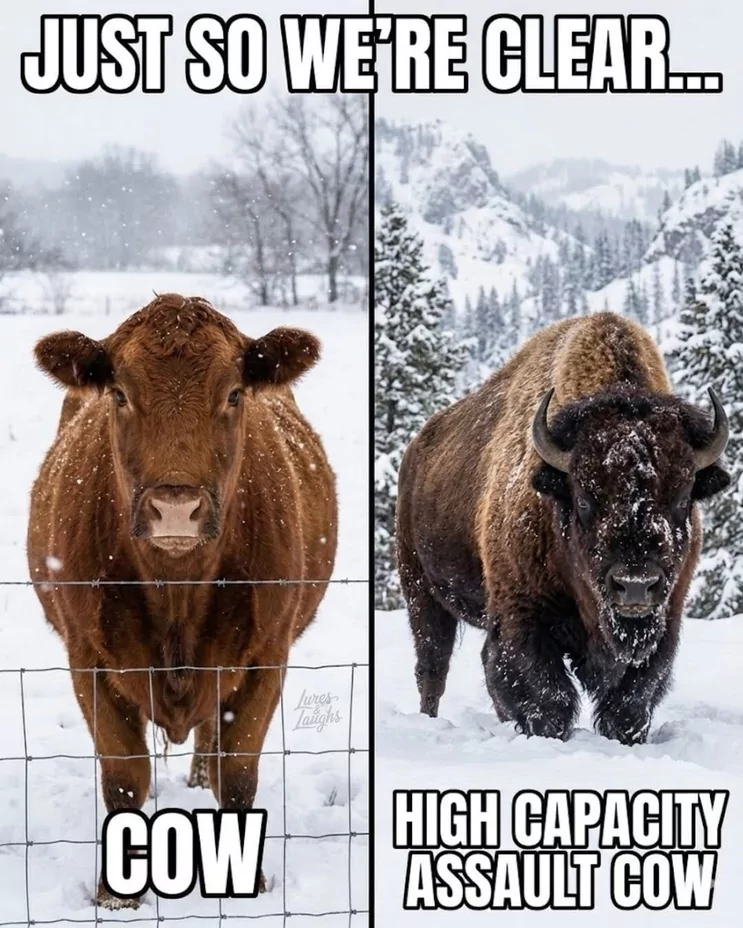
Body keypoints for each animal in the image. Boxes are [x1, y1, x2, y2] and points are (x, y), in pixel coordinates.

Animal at [27, 294, 337, 908]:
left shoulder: (267, 654)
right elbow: (124, 775)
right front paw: (115, 895)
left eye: (234, 392)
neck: (176, 594)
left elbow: (237, 770)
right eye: (120, 393)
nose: (176, 508)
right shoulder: (87, 657)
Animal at [397, 312, 729, 747]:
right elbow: (545, 695)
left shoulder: (665, 622)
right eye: (584, 498)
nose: (635, 586)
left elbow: (631, 700)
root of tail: (416, 449)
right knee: (433, 666)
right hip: (421, 588)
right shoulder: (523, 619)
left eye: (682, 496)